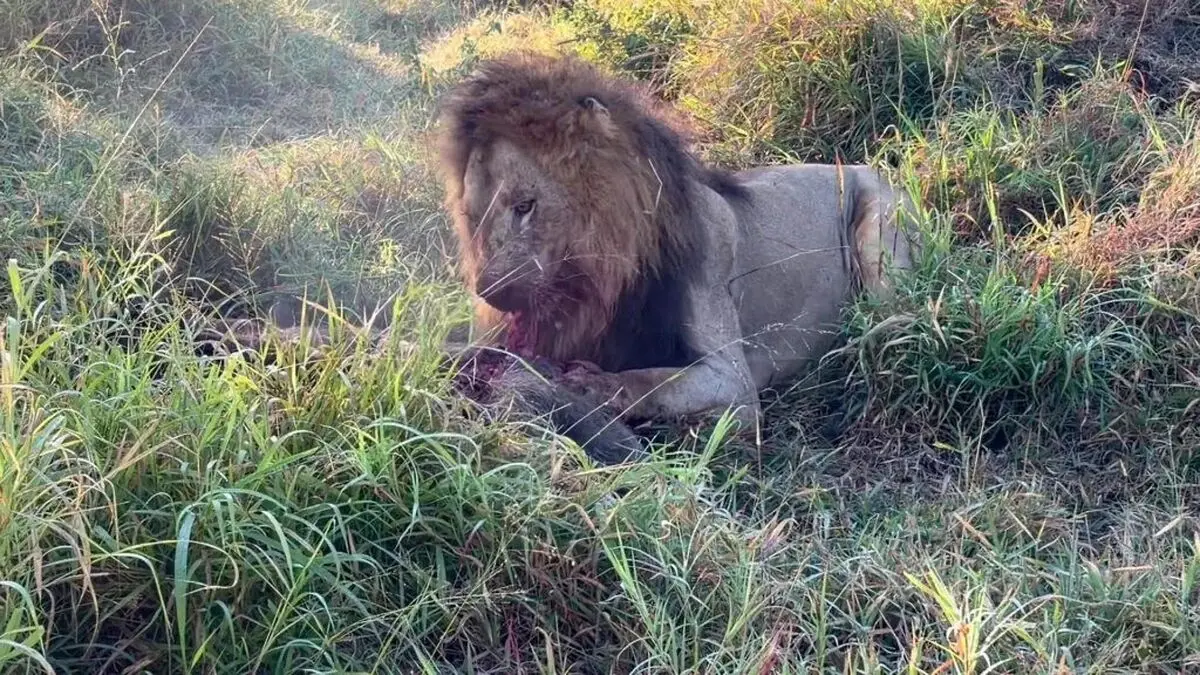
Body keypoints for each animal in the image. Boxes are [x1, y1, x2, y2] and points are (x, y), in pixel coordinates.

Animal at [437, 51, 921, 461]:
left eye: (525, 205)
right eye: (472, 217)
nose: (490, 292)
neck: (592, 289)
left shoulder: (735, 381)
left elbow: (654, 381)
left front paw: (591, 386)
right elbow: (467, 352)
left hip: (879, 231)